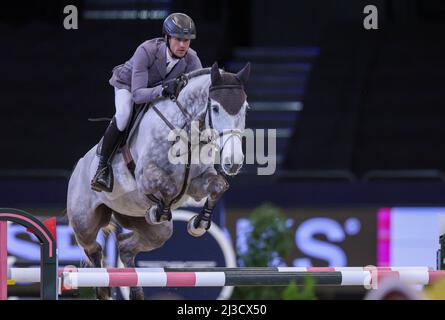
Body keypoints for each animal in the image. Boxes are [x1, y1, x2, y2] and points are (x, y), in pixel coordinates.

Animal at [66, 62, 250, 300]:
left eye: (245, 108)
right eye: (216, 108)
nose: (233, 163)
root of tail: (79, 165)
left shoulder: (196, 183)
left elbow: (218, 187)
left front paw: (199, 223)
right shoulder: (146, 177)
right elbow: (168, 187)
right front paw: (158, 210)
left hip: (155, 231)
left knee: (125, 246)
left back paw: (134, 292)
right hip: (84, 221)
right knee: (93, 248)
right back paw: (103, 288)